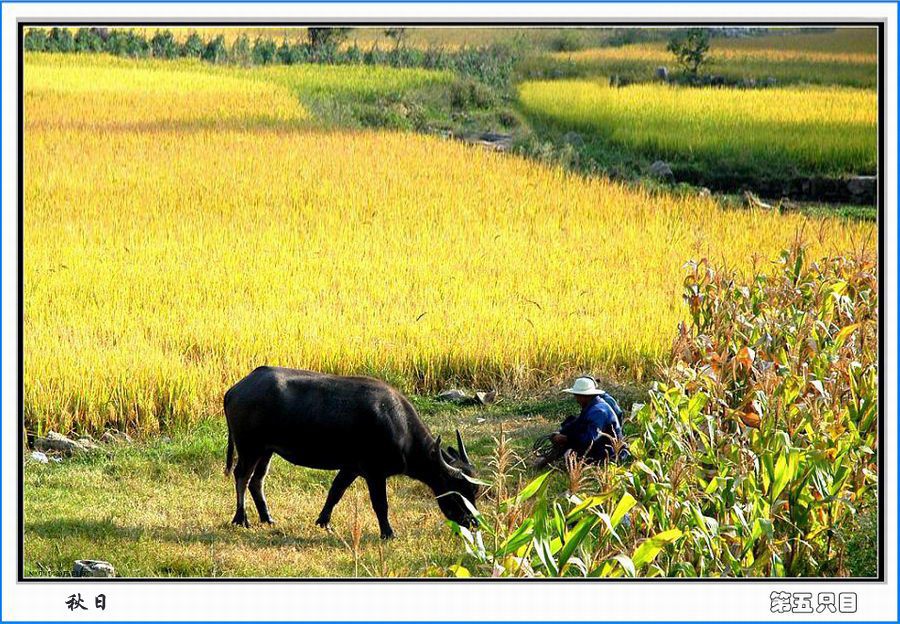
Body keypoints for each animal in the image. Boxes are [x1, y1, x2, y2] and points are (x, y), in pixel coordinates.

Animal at [224, 366, 478, 536]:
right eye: (458, 491)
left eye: (475, 491)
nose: (473, 522)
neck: (401, 429)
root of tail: (234, 390)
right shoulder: (374, 473)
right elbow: (380, 504)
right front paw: (388, 532)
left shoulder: (351, 468)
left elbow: (335, 492)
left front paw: (323, 521)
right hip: (250, 447)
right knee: (242, 476)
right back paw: (241, 518)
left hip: (266, 450)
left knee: (257, 481)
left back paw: (267, 518)